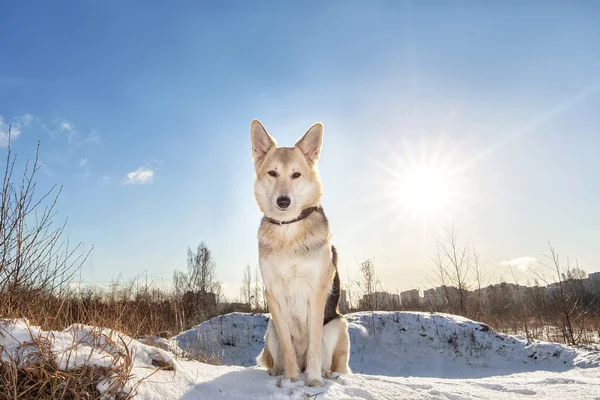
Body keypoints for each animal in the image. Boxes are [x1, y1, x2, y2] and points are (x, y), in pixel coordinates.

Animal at [250, 120, 352, 386]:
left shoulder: (316, 292)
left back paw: (325, 373)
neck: (288, 230)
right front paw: (292, 379)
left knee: (328, 359)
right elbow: (287, 347)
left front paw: (313, 380)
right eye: (272, 173)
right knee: (279, 355)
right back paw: (279, 372)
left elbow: (314, 345)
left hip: (337, 324)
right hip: (271, 328)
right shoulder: (273, 293)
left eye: (296, 174)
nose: (283, 201)